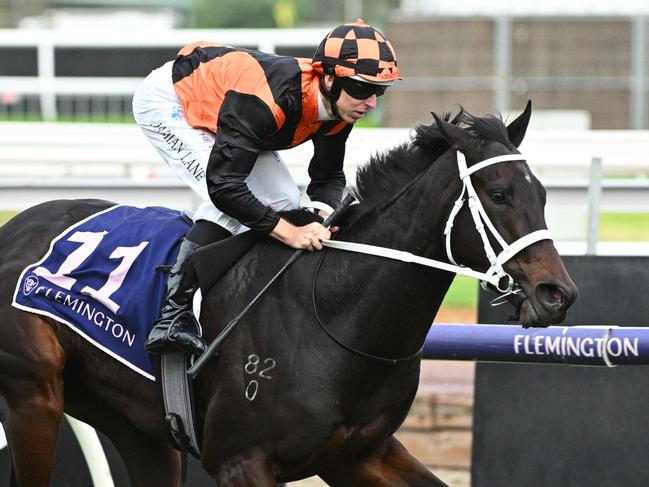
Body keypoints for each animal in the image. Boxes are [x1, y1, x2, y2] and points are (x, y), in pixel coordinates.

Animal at [0, 101, 576, 486]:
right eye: (498, 194)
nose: (557, 294)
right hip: (33, 398)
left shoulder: (359, 454)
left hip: (135, 426)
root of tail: (15, 226)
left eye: (544, 194)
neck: (336, 316)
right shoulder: (242, 463)